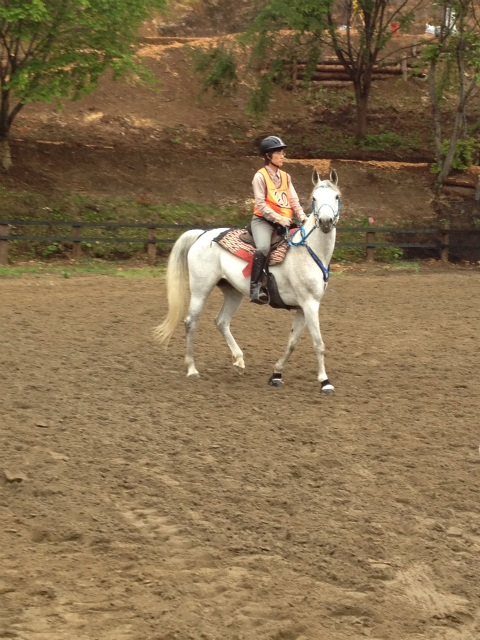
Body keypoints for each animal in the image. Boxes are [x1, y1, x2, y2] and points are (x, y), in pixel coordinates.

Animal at [153, 168, 341, 395]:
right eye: (314, 198)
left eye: (336, 196)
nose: (325, 222)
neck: (308, 251)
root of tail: (203, 234)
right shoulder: (310, 304)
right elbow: (318, 343)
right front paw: (325, 381)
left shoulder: (302, 308)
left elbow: (292, 342)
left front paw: (276, 374)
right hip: (200, 288)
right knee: (191, 322)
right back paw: (192, 369)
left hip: (233, 292)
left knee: (221, 321)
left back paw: (239, 362)